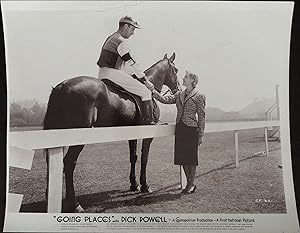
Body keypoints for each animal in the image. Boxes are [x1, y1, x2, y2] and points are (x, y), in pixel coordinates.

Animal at [43, 52, 179, 212]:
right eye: (176, 70)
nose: (178, 89)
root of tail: (61, 86)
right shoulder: (148, 133)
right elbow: (144, 158)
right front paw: (145, 185)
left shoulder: (132, 133)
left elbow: (133, 157)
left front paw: (134, 184)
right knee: (69, 162)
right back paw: (74, 203)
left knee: (51, 161)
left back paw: (49, 196)